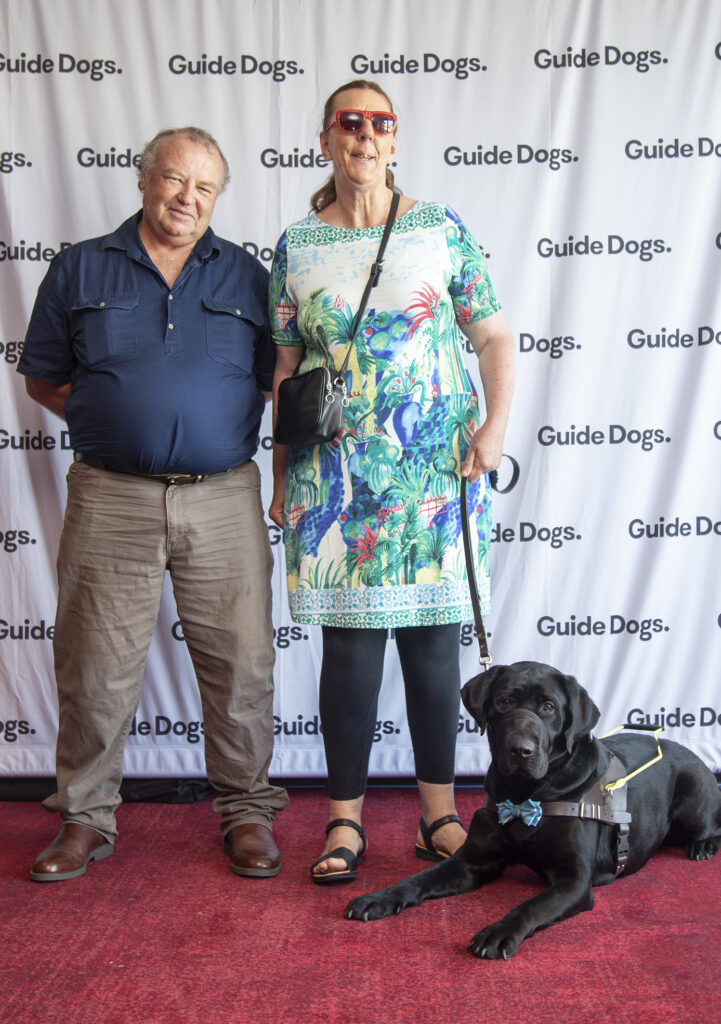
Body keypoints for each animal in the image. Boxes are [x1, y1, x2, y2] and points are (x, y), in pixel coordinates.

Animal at [344, 663, 721, 958]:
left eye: (549, 707)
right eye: (504, 702)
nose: (520, 750)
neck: (525, 795)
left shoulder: (574, 881)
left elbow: (531, 905)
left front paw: (497, 932)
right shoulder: (472, 862)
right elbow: (419, 879)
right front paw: (380, 897)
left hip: (693, 791)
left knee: (710, 823)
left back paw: (703, 845)